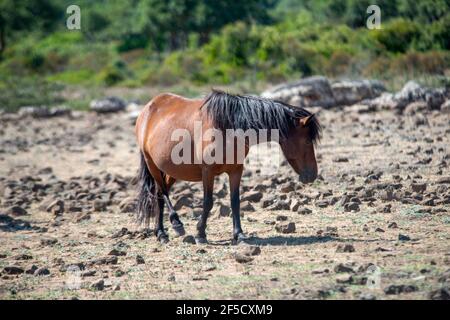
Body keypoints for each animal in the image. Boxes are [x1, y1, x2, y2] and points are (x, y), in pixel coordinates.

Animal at [134, 89, 320, 244]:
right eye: (307, 141)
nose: (312, 175)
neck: (227, 127)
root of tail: (148, 108)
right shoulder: (208, 172)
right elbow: (208, 202)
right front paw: (200, 234)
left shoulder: (236, 170)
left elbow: (235, 201)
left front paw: (239, 234)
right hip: (151, 164)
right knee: (161, 193)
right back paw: (174, 225)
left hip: (172, 170)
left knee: (159, 194)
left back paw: (160, 232)